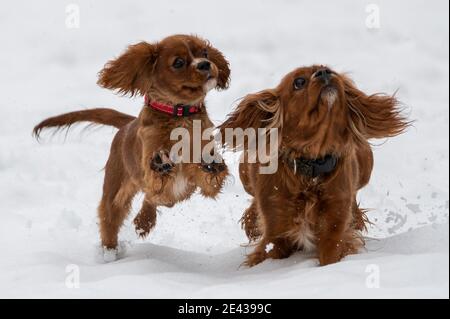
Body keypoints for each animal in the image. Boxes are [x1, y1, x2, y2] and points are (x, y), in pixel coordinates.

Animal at [33, 33, 230, 262]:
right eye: (178, 62)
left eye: (205, 53)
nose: (205, 64)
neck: (179, 117)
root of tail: (127, 124)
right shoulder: (150, 172)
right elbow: (157, 179)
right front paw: (161, 164)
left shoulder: (199, 180)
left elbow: (209, 179)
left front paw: (211, 165)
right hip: (115, 191)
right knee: (111, 218)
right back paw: (110, 254)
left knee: (152, 201)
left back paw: (143, 222)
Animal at [220, 65, 410, 268]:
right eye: (299, 82)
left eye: (330, 70)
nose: (324, 73)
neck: (311, 165)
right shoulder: (277, 230)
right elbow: (269, 248)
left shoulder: (333, 229)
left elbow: (331, 253)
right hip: (245, 177)